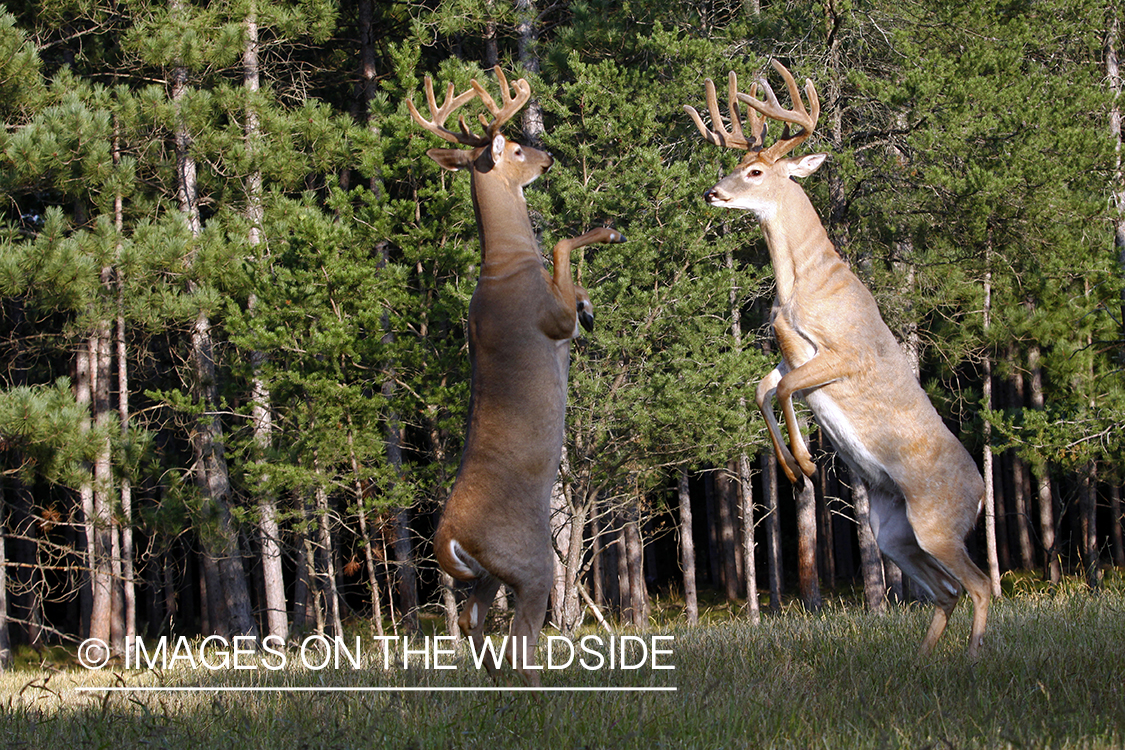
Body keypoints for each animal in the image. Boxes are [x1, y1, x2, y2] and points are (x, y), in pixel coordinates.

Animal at [409, 67, 630, 683]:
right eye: (512, 148)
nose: (548, 156)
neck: (505, 267)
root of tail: (448, 537)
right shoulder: (549, 319)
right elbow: (559, 245)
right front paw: (607, 235)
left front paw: (591, 302)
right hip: (531, 564)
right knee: (521, 636)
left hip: (488, 574)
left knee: (472, 622)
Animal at [679, 60, 990, 656]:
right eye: (735, 163)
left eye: (755, 171)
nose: (712, 192)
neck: (801, 286)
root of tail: (983, 494)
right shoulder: (790, 351)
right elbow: (763, 388)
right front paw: (791, 469)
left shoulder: (845, 353)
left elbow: (782, 390)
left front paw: (803, 465)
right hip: (894, 533)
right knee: (946, 591)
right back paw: (925, 659)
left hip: (939, 523)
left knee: (981, 586)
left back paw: (973, 657)